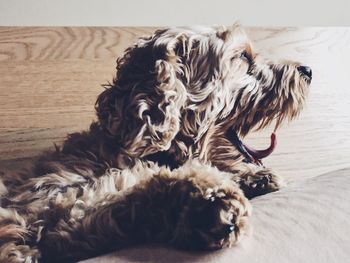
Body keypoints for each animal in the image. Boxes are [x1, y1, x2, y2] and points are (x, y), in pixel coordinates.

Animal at [0, 25, 312, 263]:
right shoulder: (53, 212)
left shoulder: (70, 229)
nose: (307, 70)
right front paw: (209, 198)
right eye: (244, 56)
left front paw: (251, 178)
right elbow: (138, 191)